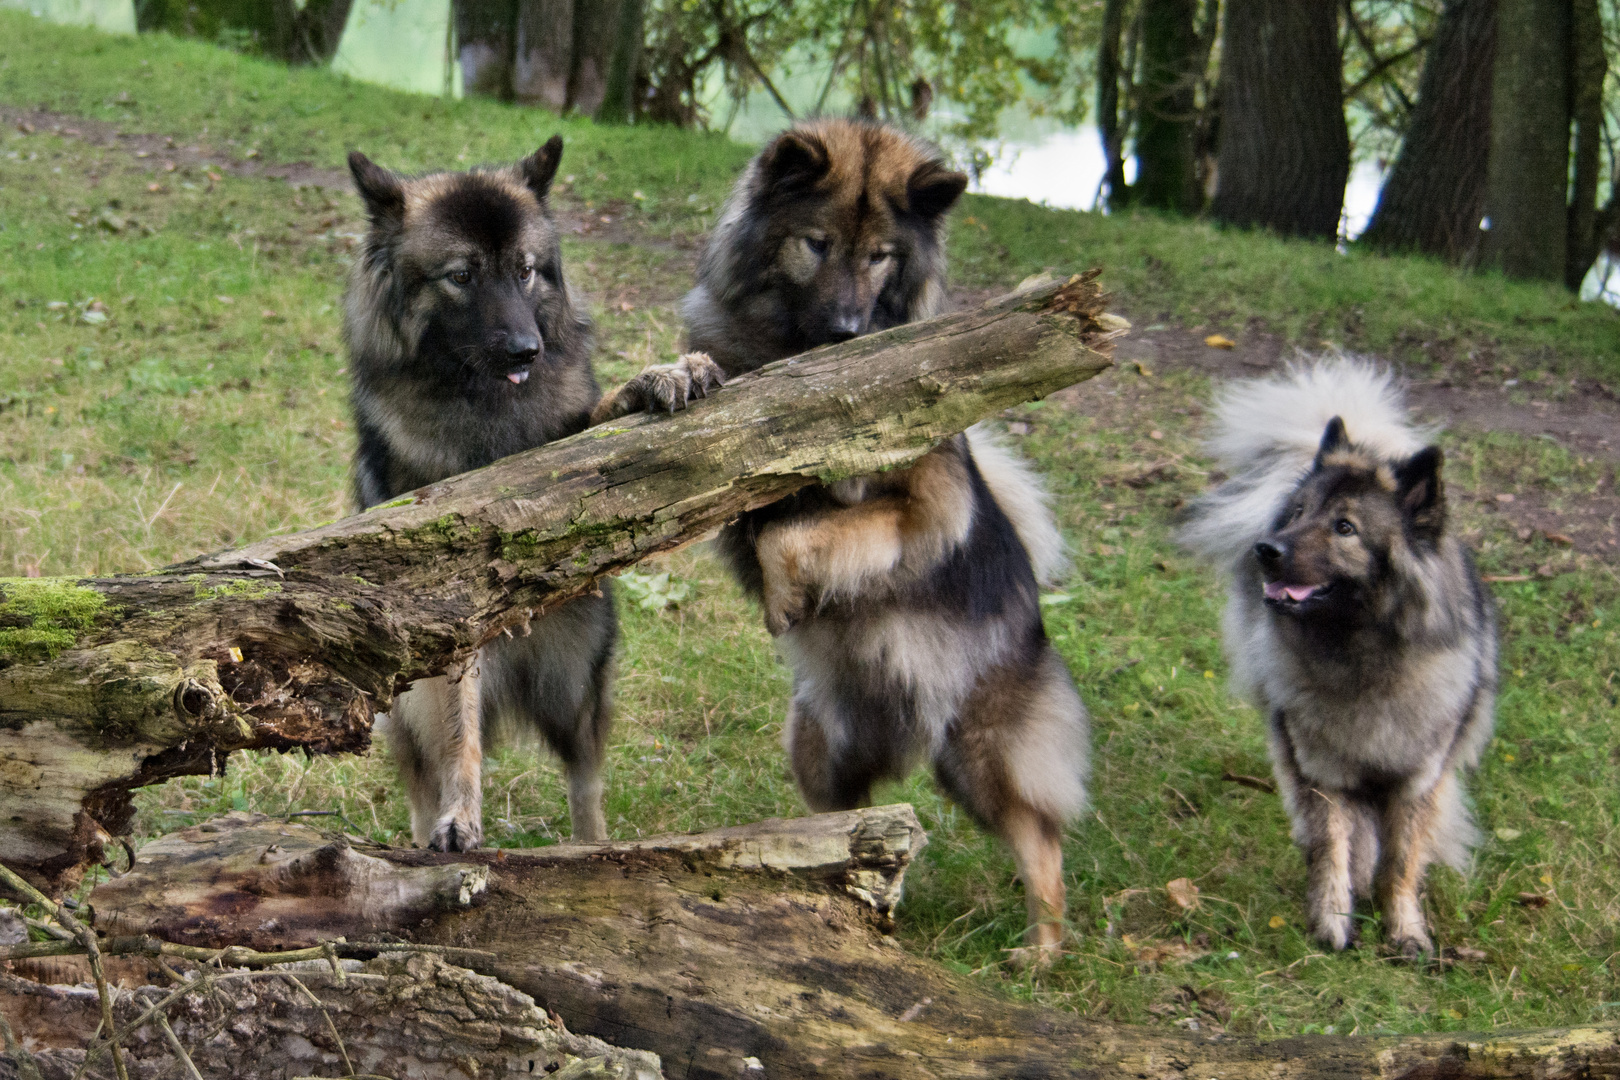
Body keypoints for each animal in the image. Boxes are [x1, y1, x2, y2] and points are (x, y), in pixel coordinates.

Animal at [1179, 359, 1490, 958]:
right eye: (1298, 514)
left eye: (1344, 528)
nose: (1266, 550)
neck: (1360, 657)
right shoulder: (1323, 772)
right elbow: (1333, 847)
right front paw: (1331, 920)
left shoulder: (1415, 781)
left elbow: (1401, 862)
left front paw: (1405, 930)